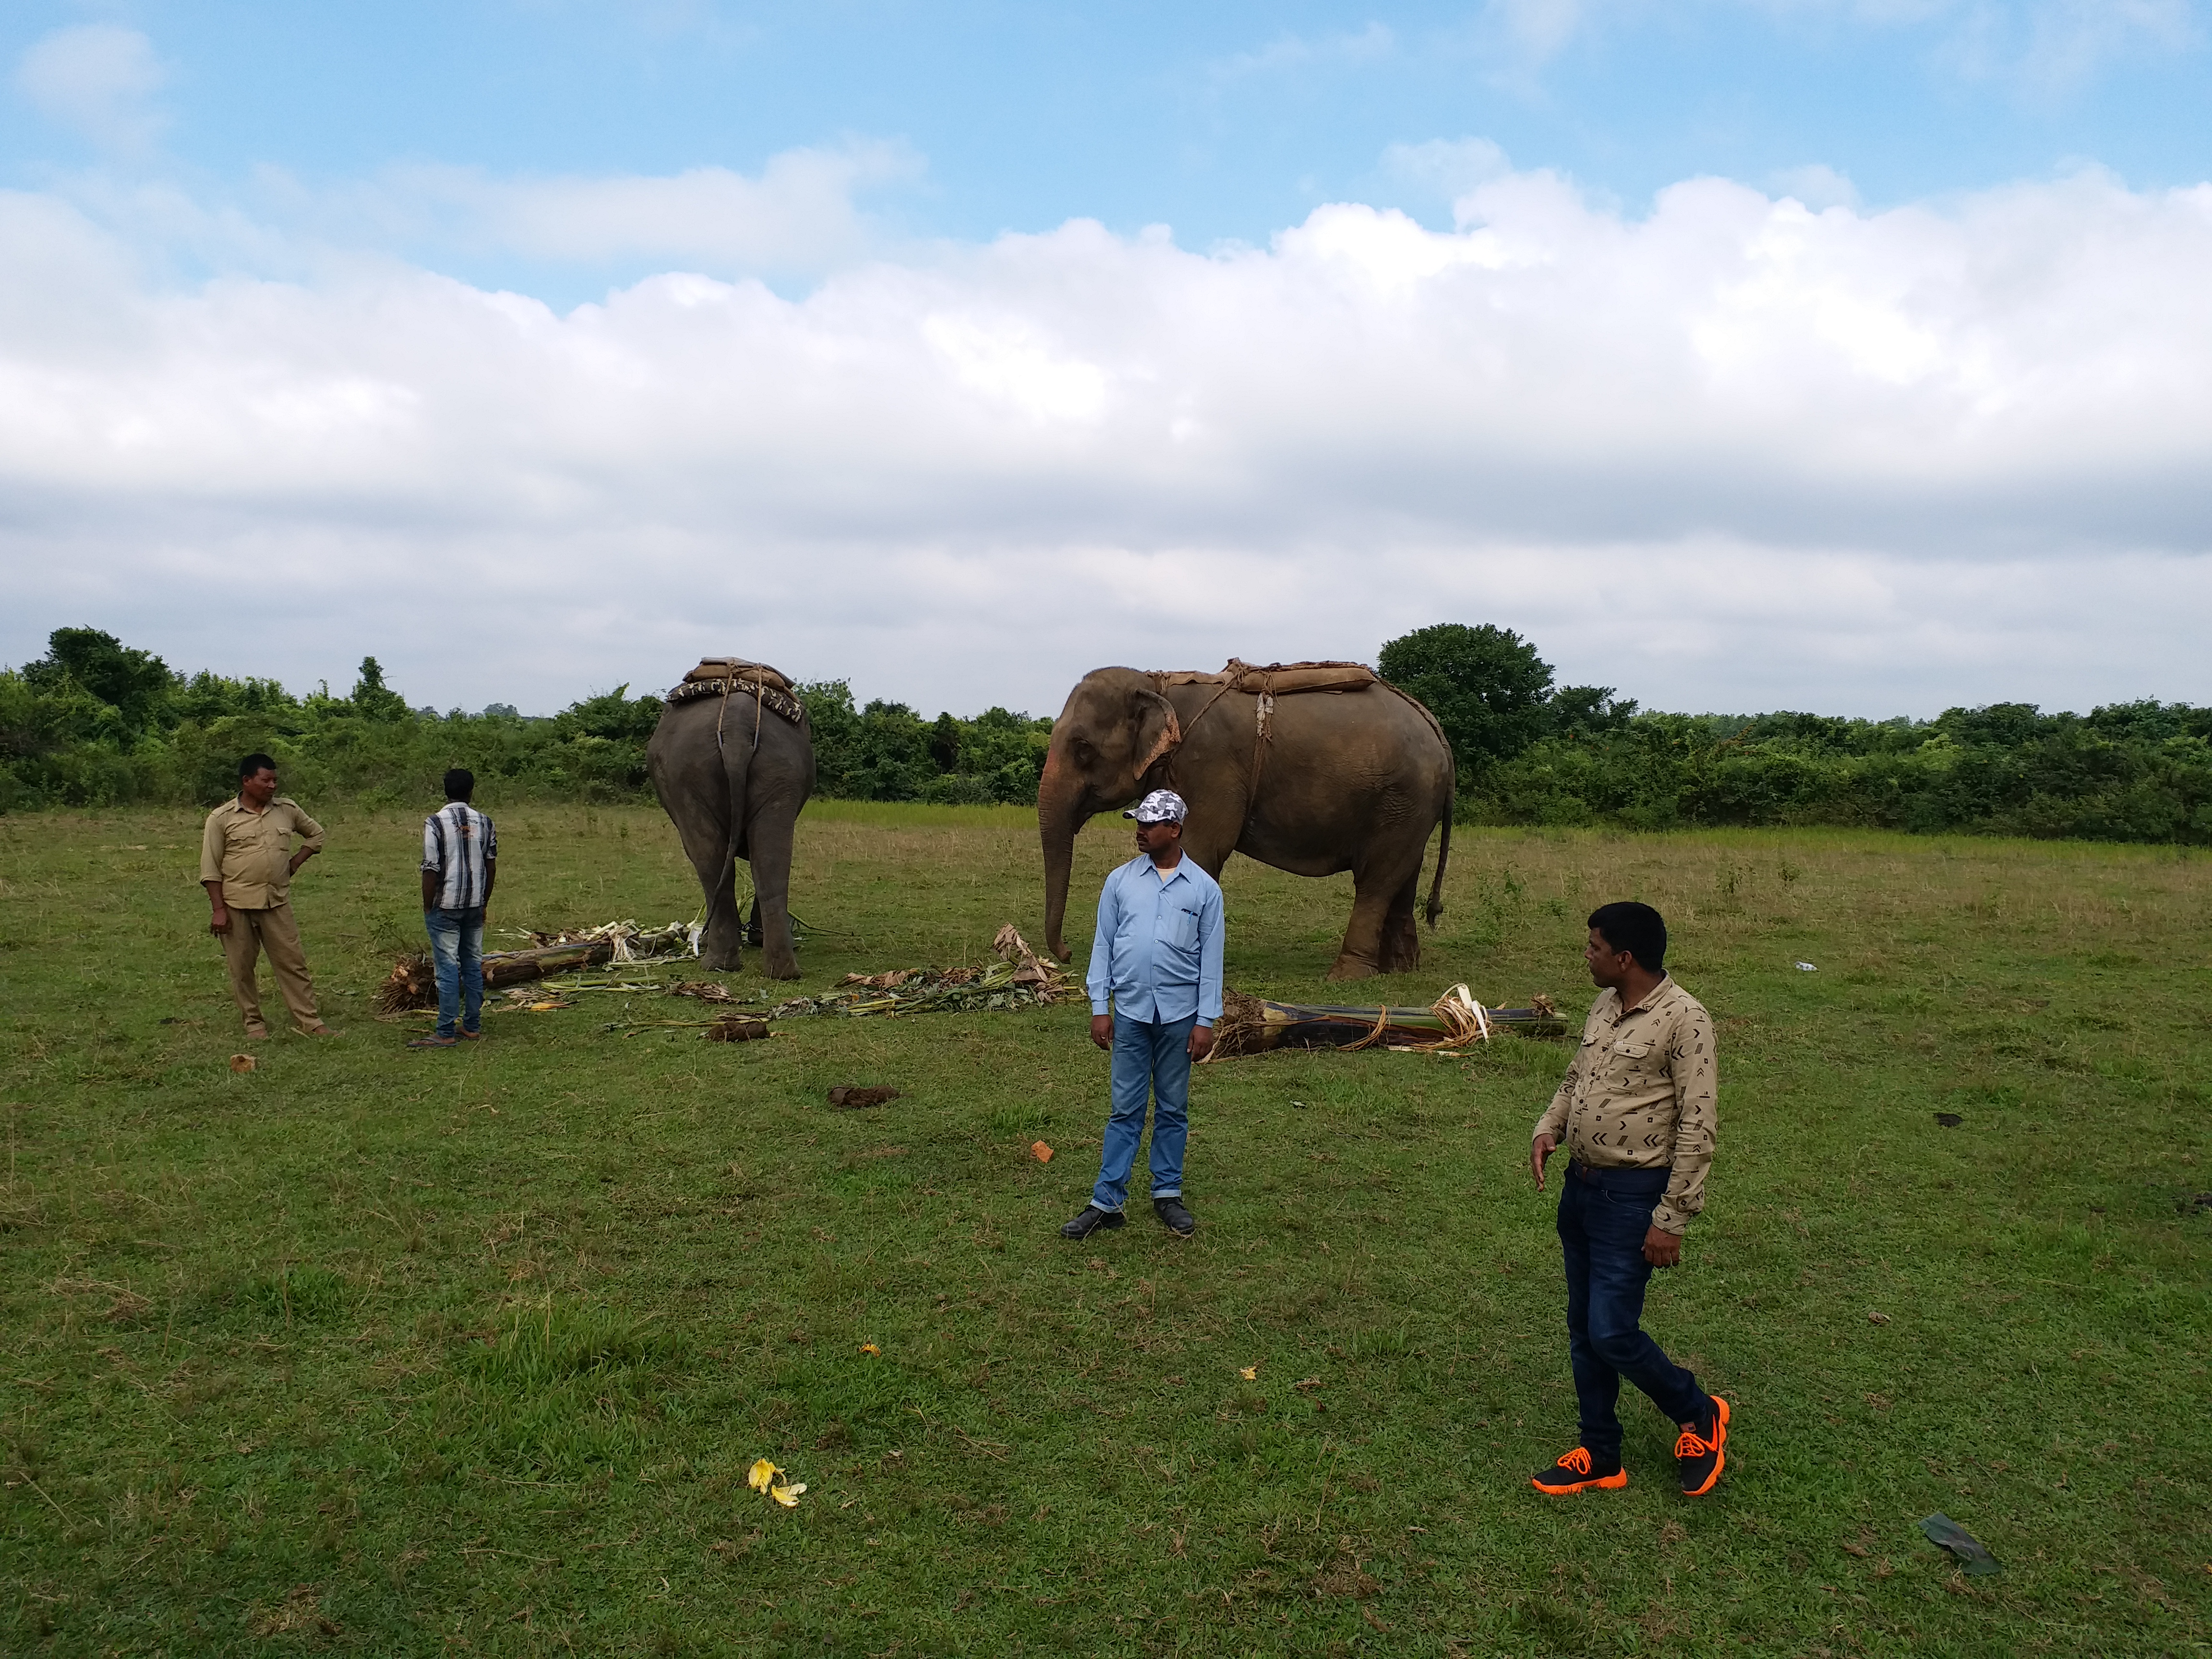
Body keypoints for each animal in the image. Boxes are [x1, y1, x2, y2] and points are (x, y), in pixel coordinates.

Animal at [646, 659, 823, 982]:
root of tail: (736, 724)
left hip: (696, 773)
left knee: (715, 859)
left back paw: (726, 962)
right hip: (770, 769)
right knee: (764, 858)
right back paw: (774, 971)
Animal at [1044, 668, 1460, 982]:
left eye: (1083, 749)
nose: (1067, 954)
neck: (1155, 682)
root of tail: (1435, 727)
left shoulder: (1210, 766)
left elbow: (1200, 851)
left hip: (1402, 798)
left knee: (1376, 880)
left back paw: (1347, 976)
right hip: (1409, 808)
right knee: (1403, 876)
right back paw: (1399, 970)